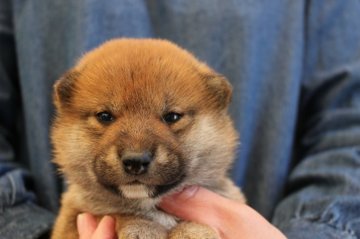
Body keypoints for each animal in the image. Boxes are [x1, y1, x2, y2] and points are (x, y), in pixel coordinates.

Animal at [50, 39, 246, 239]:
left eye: (172, 117)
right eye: (104, 116)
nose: (135, 161)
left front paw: (193, 231)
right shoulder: (73, 218)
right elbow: (114, 214)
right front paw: (141, 226)